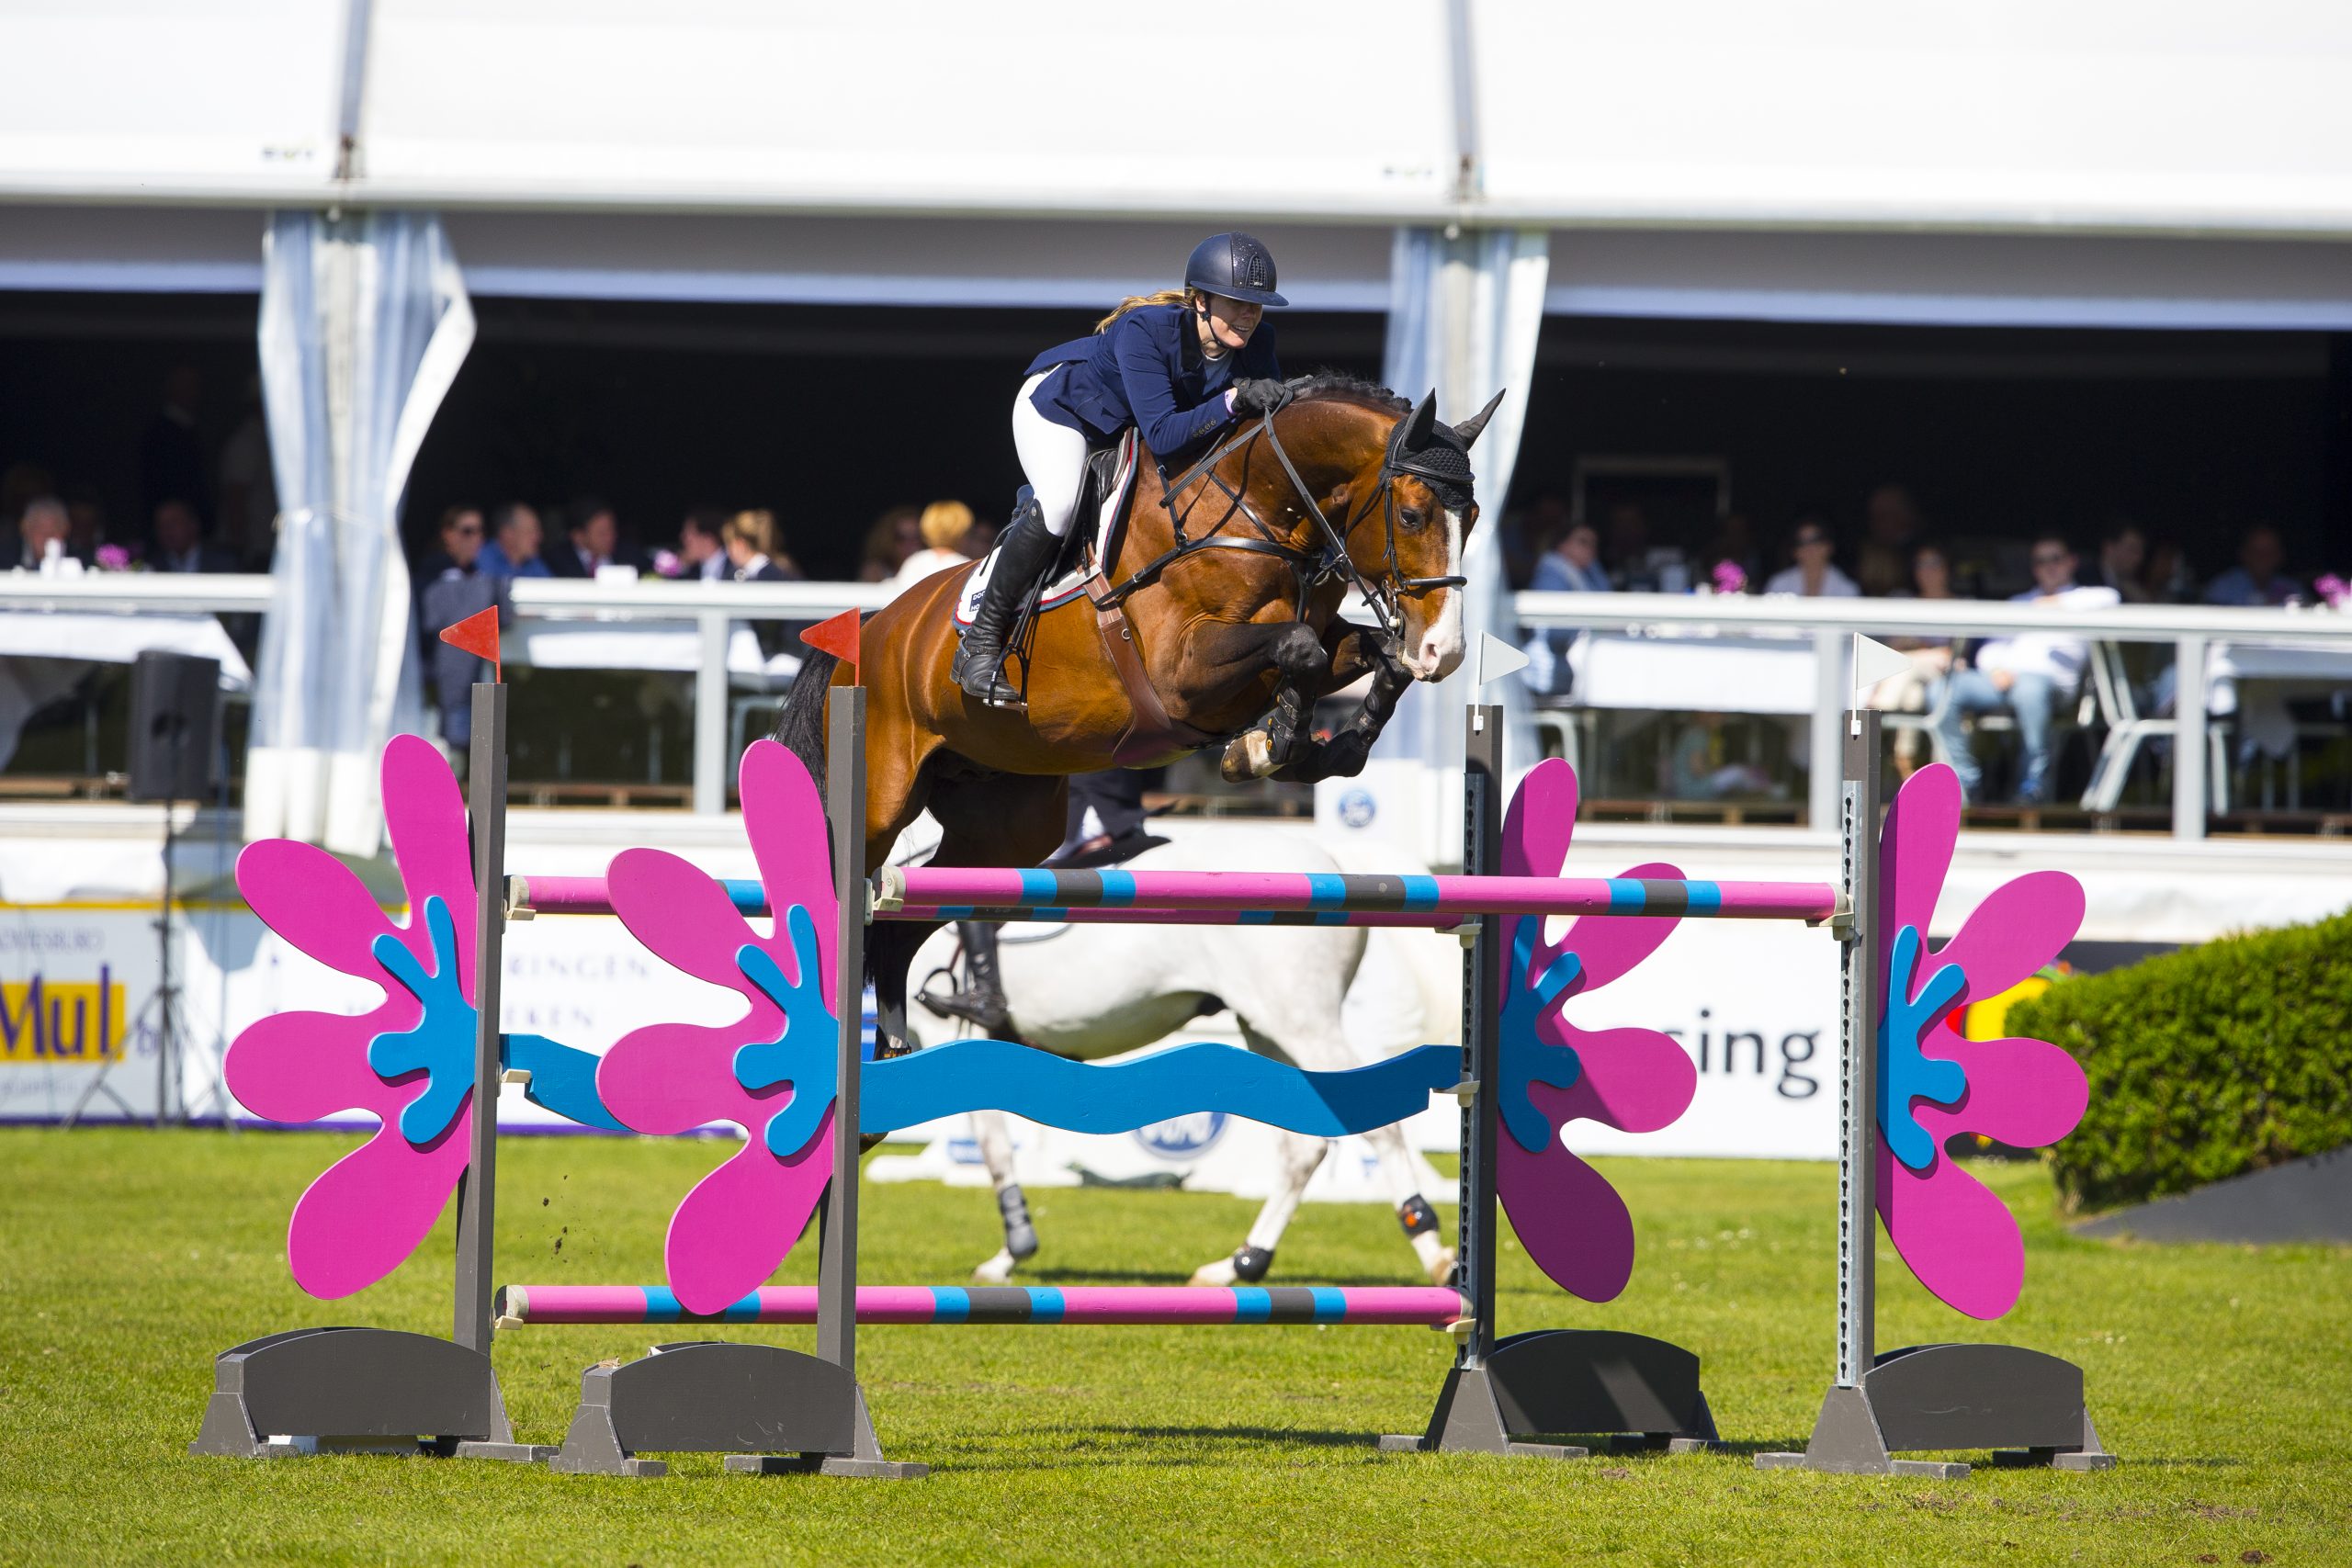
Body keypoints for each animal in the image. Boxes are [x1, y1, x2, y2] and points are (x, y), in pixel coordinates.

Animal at [775, 374, 1501, 1064]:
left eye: (1473, 518)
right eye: (1411, 513)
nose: (1446, 650)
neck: (1259, 513)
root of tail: (869, 629)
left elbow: (1365, 657)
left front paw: (1310, 749)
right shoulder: (1183, 674)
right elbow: (1300, 646)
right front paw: (1273, 745)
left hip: (1008, 831)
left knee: (900, 929)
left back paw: (889, 1059)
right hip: (881, 801)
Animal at [895, 832, 1461, 1288]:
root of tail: (1328, 860)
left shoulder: (950, 1036)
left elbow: (991, 1146)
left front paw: (1011, 1253)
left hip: (1301, 1020)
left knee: (1375, 1125)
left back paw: (1432, 1249)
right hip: (1265, 1025)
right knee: (1303, 1146)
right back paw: (1241, 1264)